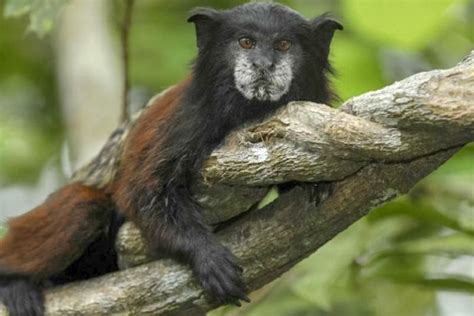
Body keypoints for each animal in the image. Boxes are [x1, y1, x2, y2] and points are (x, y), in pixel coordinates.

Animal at [0, 3, 340, 316]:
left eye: (283, 45)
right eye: (246, 42)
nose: (263, 65)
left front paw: (313, 183)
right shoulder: (185, 121)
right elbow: (141, 192)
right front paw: (206, 256)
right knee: (83, 209)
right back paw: (14, 281)